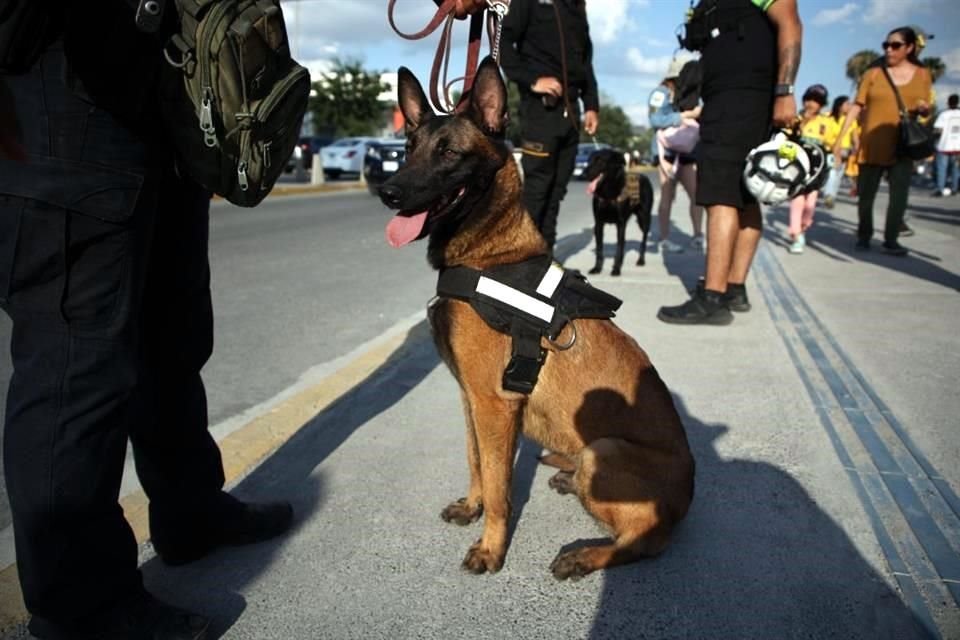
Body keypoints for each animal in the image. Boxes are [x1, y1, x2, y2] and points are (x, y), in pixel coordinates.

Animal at [378, 58, 692, 580]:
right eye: (407, 149)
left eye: (449, 153)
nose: (388, 191)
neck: (489, 255)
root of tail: (687, 500)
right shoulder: (472, 400)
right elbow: (477, 463)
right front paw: (471, 507)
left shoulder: (494, 404)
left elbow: (500, 488)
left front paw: (490, 548)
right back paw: (567, 479)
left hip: (603, 450)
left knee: (645, 541)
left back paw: (586, 554)